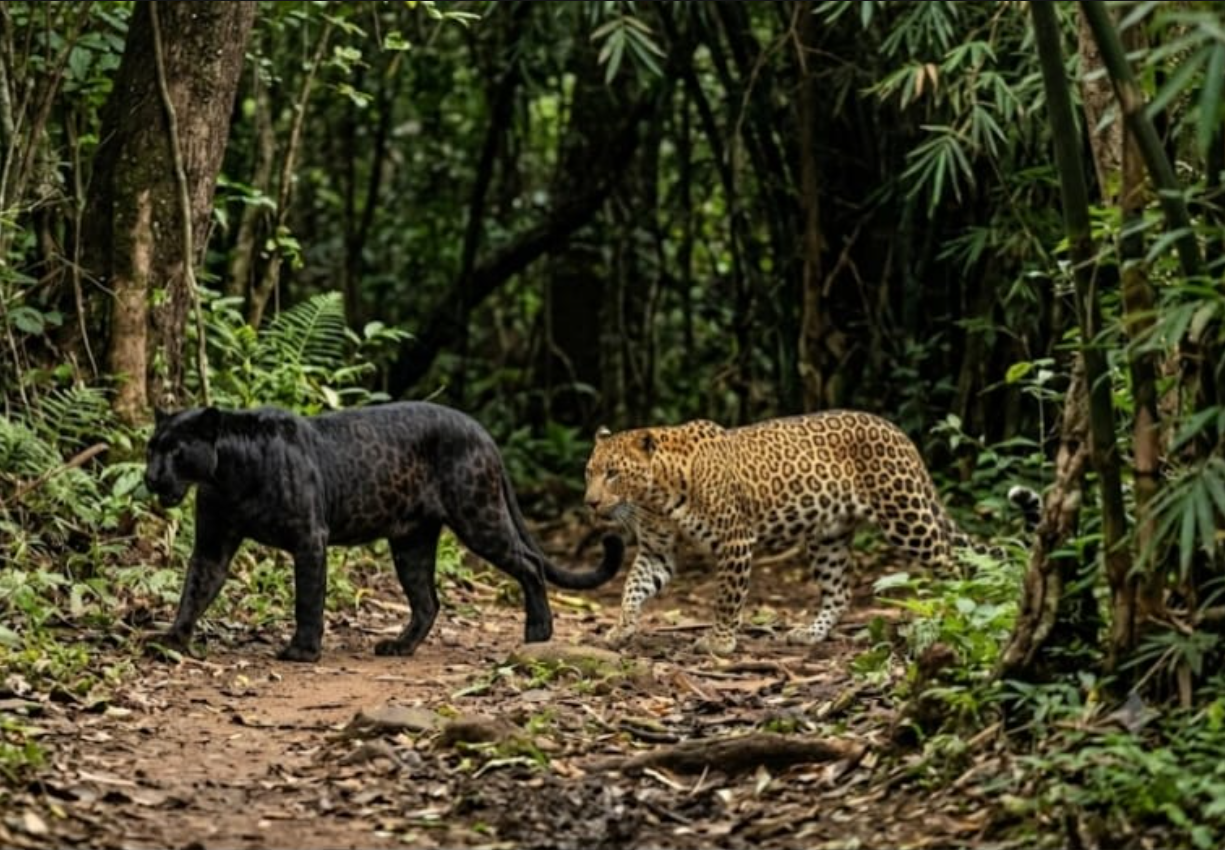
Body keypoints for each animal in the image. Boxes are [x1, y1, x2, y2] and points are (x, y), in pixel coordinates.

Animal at [144, 402, 624, 662]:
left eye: (176, 450)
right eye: (152, 448)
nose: (150, 477)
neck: (225, 477)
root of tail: (481, 431)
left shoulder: (309, 540)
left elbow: (307, 599)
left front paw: (302, 651)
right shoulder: (213, 543)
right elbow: (195, 588)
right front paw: (171, 640)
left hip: (478, 516)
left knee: (528, 565)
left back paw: (538, 633)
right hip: (411, 542)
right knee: (428, 600)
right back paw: (399, 646)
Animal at [583, 410, 1040, 656]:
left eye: (614, 473)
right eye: (590, 472)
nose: (590, 503)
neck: (655, 494)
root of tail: (899, 433)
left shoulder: (735, 540)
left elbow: (728, 597)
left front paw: (720, 642)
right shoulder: (657, 550)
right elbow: (633, 587)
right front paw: (621, 628)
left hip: (906, 515)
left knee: (952, 563)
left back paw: (960, 612)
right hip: (828, 536)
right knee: (840, 591)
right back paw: (811, 633)